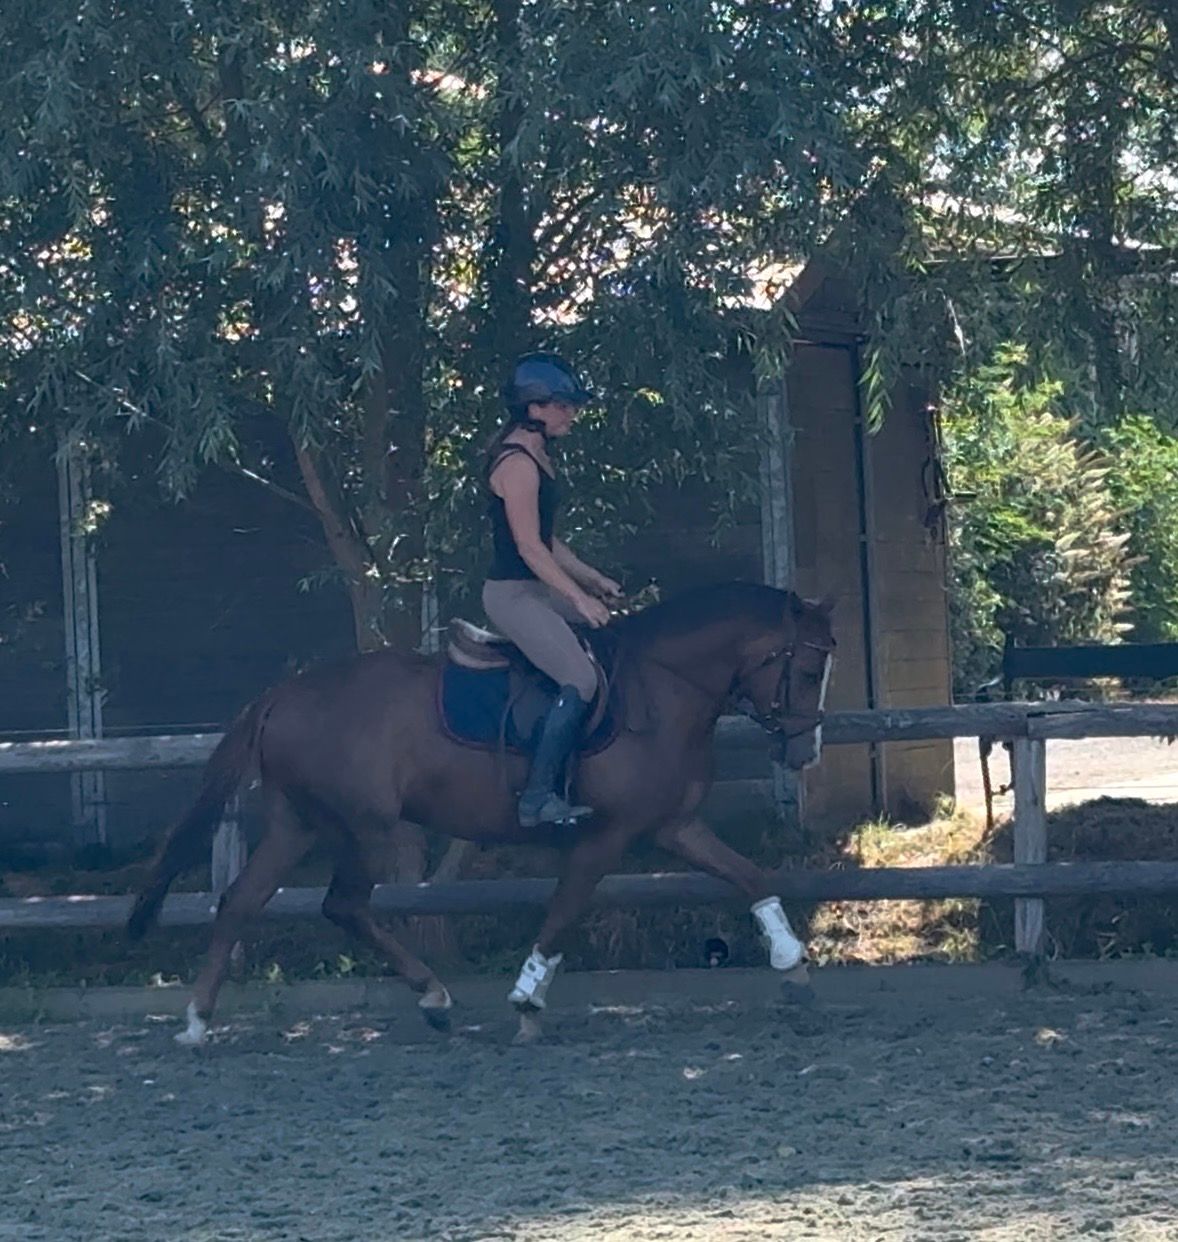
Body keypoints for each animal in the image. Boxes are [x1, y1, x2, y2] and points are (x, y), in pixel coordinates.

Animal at [127, 581, 835, 1045]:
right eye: (807, 669)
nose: (805, 750)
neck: (662, 686)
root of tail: (283, 694)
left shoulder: (673, 826)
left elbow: (749, 876)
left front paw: (793, 964)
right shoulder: (606, 835)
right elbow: (563, 913)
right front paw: (526, 1001)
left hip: (296, 824)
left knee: (241, 901)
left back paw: (198, 1022)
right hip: (364, 828)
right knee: (343, 905)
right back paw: (433, 996)